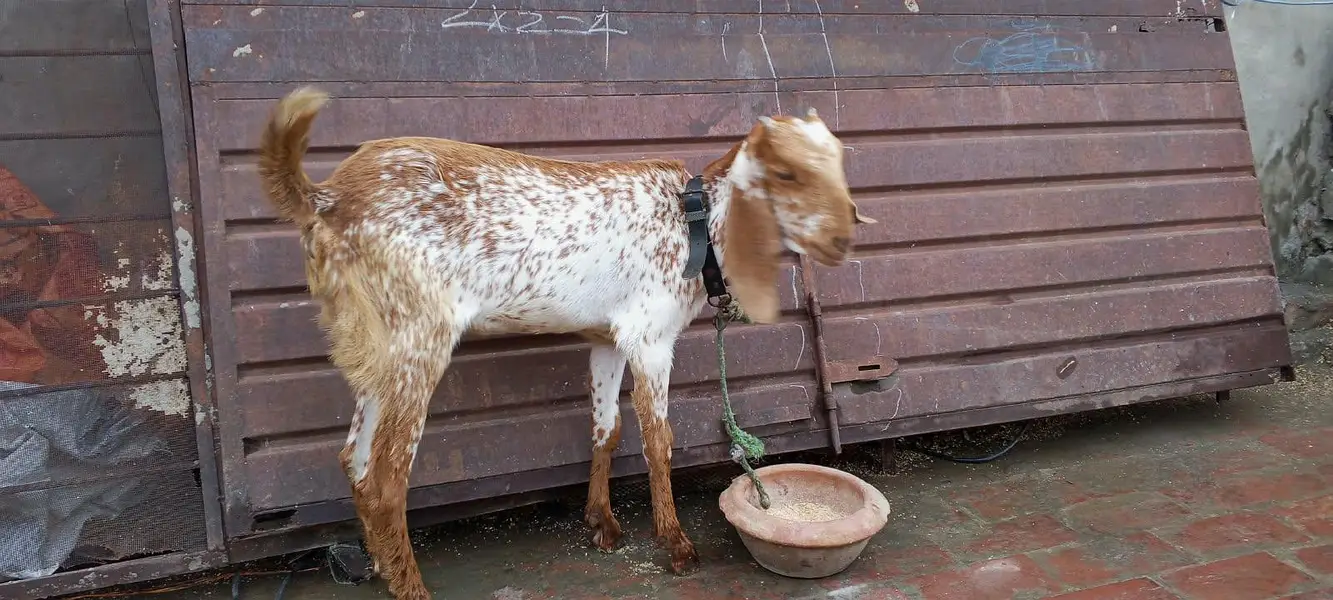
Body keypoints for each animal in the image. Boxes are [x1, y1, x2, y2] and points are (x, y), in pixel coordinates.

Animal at [257, 87, 872, 600]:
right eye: (786, 173)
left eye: (839, 163)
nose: (843, 236)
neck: (693, 227)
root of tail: (326, 198)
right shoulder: (650, 337)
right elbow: (659, 440)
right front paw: (674, 545)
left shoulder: (608, 338)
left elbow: (607, 428)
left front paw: (601, 523)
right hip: (418, 335)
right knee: (388, 477)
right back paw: (411, 587)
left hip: (376, 344)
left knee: (355, 461)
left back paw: (384, 565)